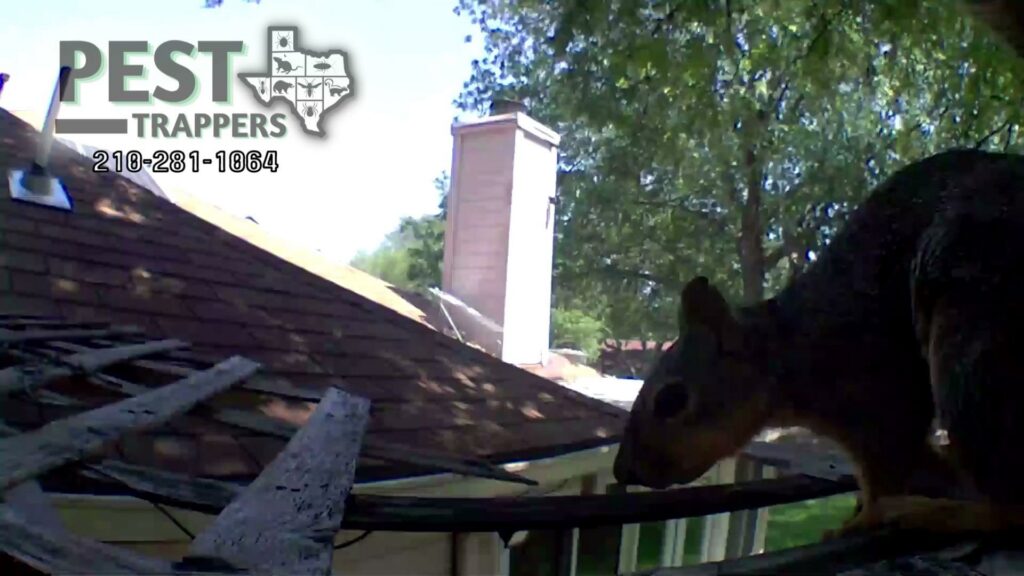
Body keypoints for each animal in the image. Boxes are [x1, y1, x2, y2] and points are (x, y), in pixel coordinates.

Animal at [613, 148, 1024, 536]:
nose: (622, 471)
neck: (792, 346)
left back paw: (935, 513)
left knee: (1009, 508)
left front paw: (861, 519)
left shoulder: (878, 394)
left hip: (968, 353)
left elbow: (888, 473)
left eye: (670, 400)